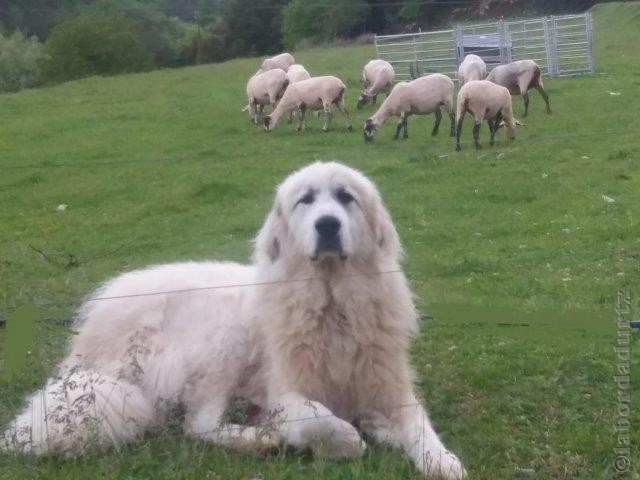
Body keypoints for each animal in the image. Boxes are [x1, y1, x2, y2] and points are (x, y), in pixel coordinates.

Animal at [3, 163, 464, 478]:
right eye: (306, 200)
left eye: (345, 197)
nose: (328, 224)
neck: (333, 304)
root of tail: (90, 334)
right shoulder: (285, 396)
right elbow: (328, 427)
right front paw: (339, 438)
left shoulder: (392, 389)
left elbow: (420, 428)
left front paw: (440, 459)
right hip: (223, 337)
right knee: (199, 426)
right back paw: (257, 439)